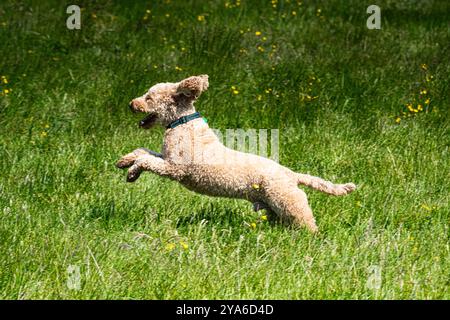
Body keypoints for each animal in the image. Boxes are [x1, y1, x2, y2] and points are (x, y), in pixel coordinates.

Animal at [118, 75, 356, 231]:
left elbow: (146, 160)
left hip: (289, 201)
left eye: (149, 98)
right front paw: (125, 162)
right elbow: (144, 152)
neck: (182, 123)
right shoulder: (165, 158)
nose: (131, 104)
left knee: (307, 222)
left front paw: (132, 171)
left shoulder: (174, 168)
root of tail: (292, 174)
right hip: (273, 206)